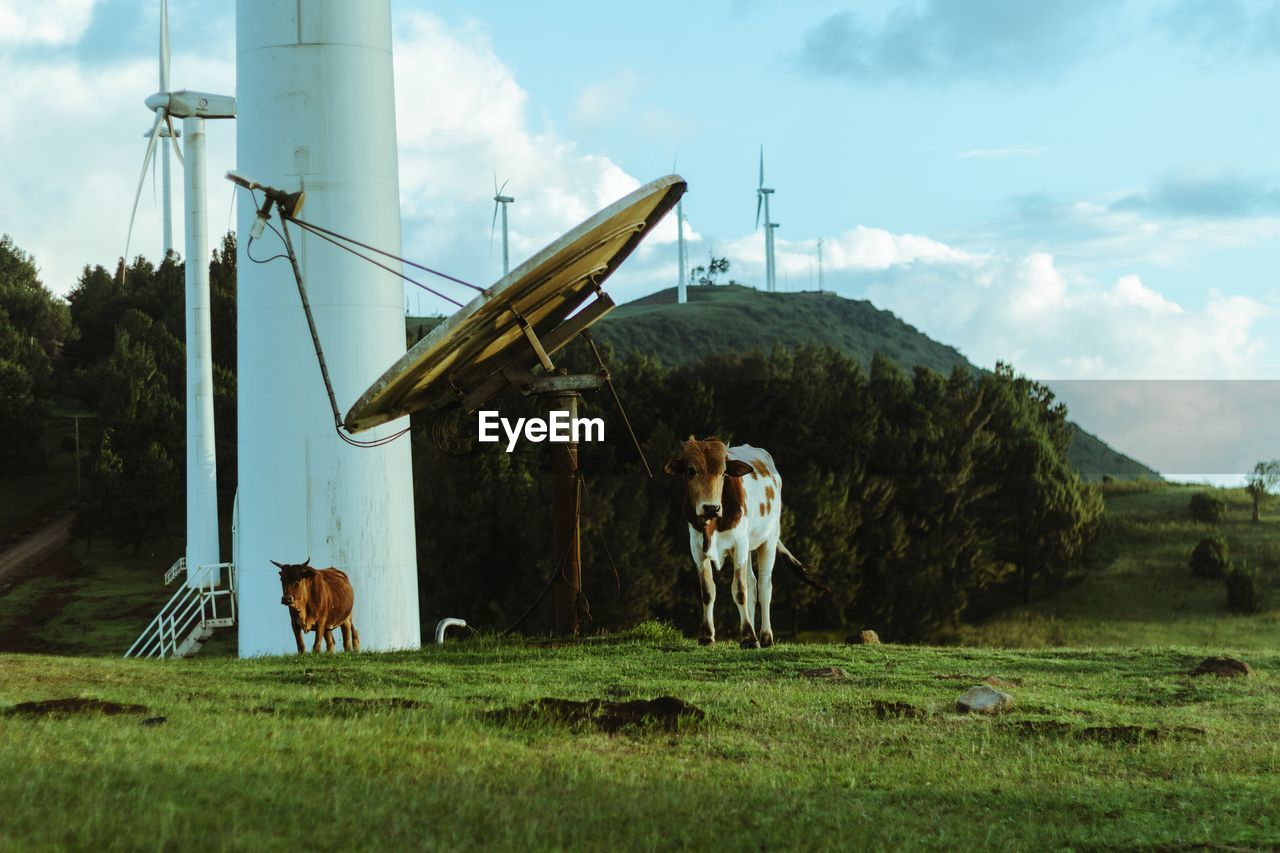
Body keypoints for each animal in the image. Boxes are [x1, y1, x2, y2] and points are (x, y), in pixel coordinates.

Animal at [670, 438, 829, 645]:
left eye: (723, 472)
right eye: (691, 470)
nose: (711, 508)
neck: (712, 525)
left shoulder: (738, 546)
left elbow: (739, 591)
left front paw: (749, 637)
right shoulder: (697, 549)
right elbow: (708, 591)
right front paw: (707, 635)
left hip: (768, 540)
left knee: (764, 587)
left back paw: (765, 636)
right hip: (747, 548)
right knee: (752, 586)